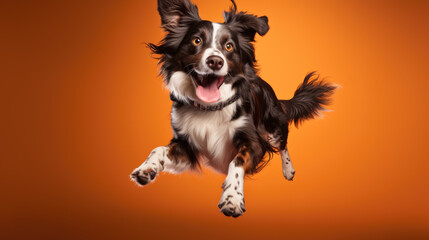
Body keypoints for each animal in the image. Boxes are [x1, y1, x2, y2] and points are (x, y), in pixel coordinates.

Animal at [129, 0, 336, 218]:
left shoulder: (254, 143)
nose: (215, 61)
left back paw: (288, 170)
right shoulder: (188, 148)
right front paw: (146, 169)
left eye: (229, 46)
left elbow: (236, 162)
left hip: (272, 128)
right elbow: (157, 149)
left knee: (283, 145)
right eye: (196, 40)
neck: (209, 108)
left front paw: (232, 198)